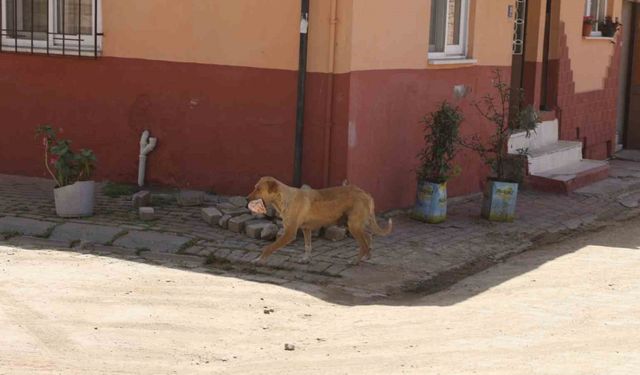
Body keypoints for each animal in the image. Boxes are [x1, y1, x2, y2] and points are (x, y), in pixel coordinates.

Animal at [248, 178, 392, 266]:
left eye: (258, 189)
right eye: (254, 187)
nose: (247, 198)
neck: (284, 197)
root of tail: (366, 194)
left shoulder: (290, 233)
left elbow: (269, 247)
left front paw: (259, 260)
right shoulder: (306, 229)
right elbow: (308, 246)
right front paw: (306, 259)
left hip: (353, 226)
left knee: (363, 244)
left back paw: (356, 261)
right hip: (354, 223)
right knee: (368, 236)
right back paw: (367, 256)